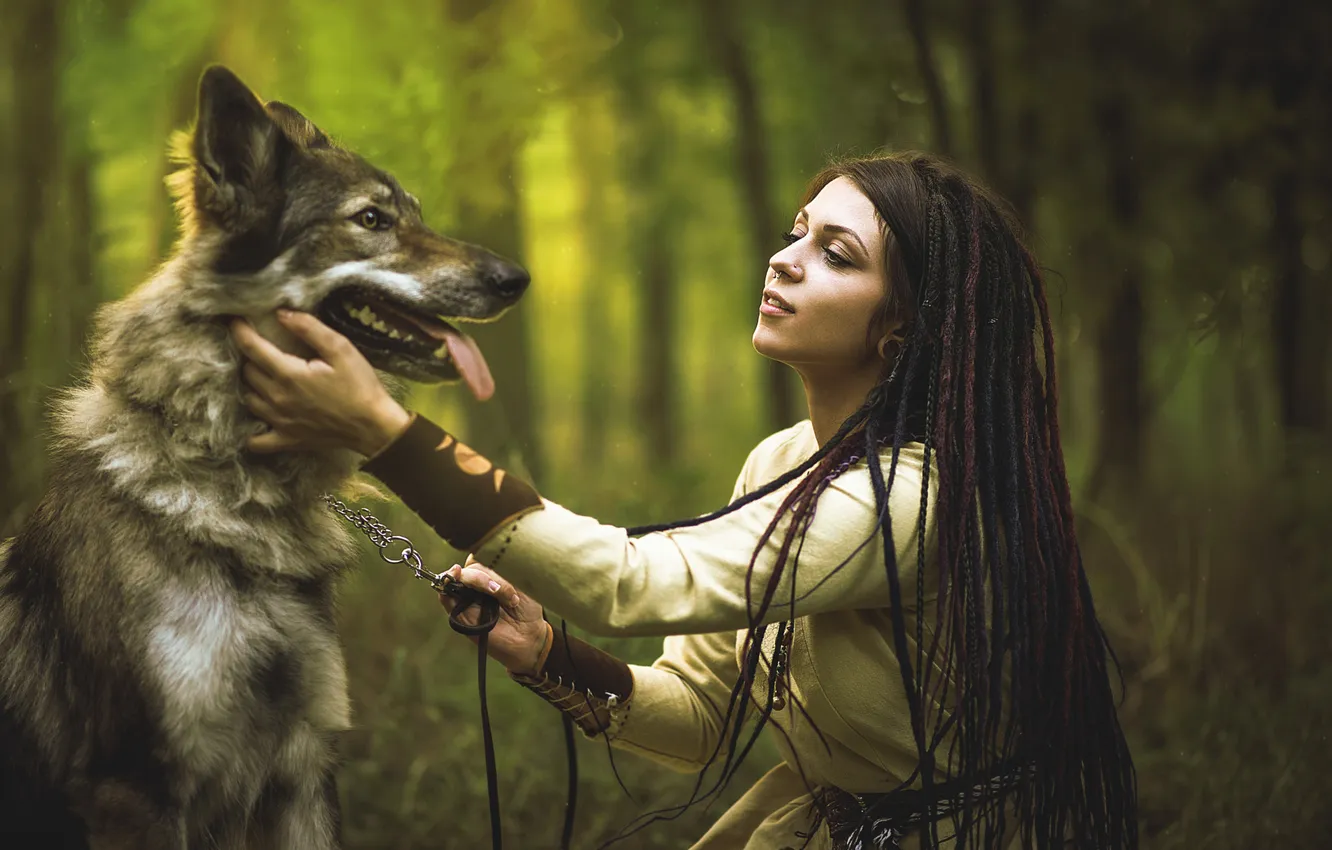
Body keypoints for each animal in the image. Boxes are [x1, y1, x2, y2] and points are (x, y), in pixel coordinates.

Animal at [0, 66, 528, 849]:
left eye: (414, 215)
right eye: (371, 220)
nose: (516, 279)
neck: (232, 479)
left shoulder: (304, 769)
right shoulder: (135, 788)